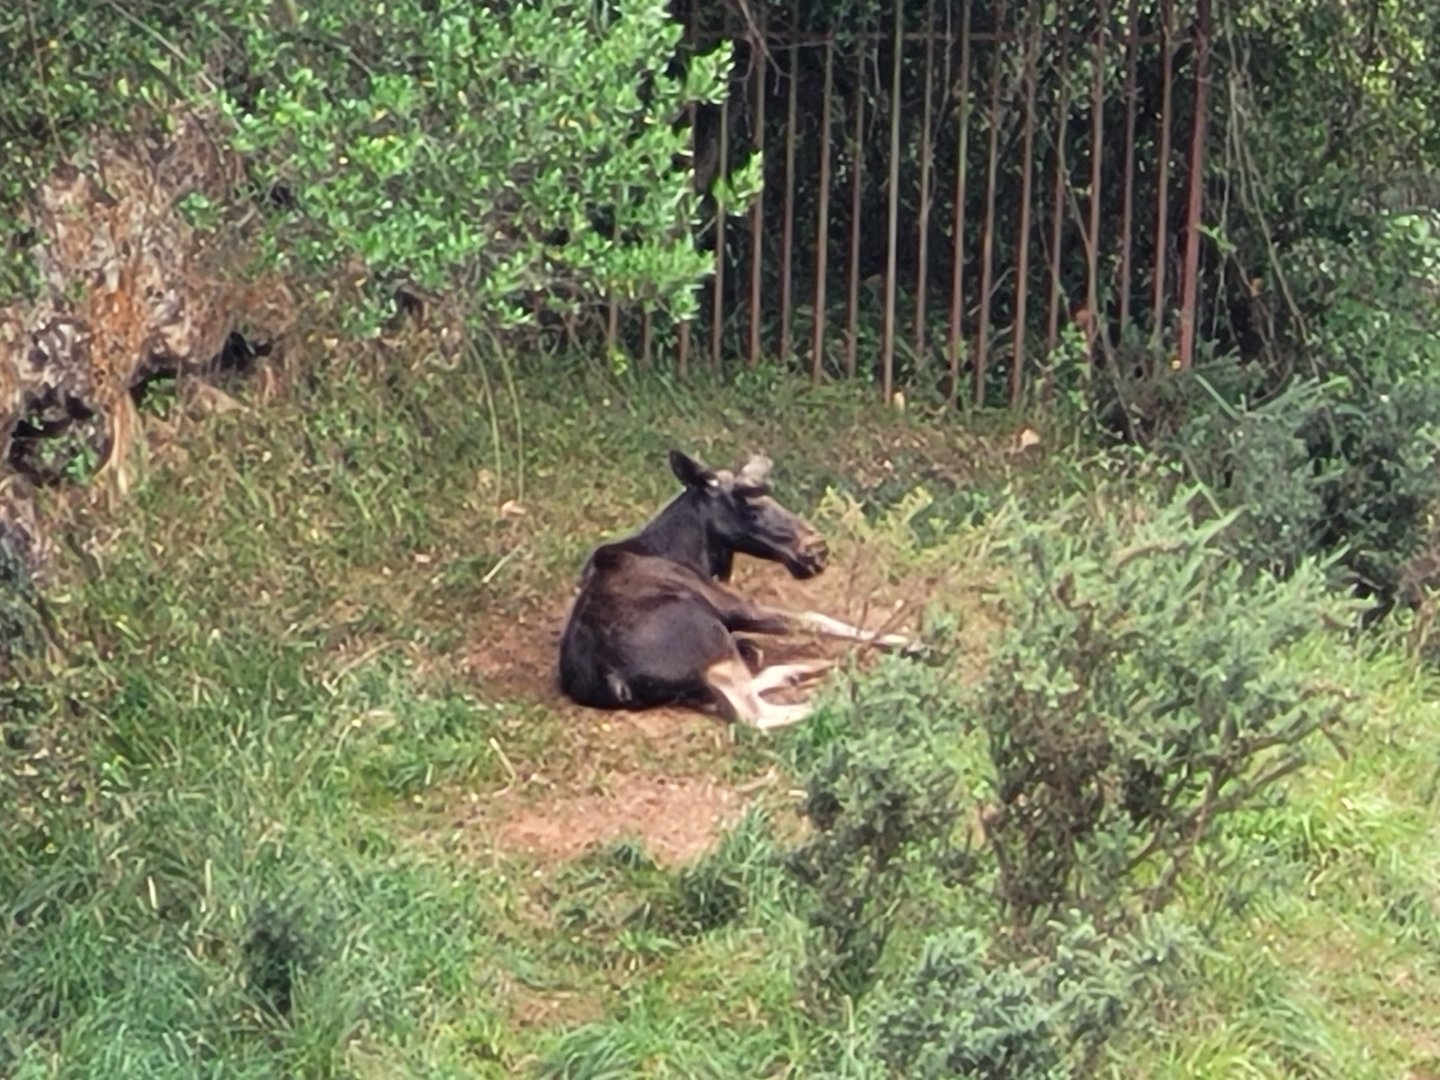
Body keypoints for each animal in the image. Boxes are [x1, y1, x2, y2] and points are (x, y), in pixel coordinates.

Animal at [556, 449, 914, 729]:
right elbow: (814, 618)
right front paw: (912, 644)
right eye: (750, 507)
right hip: (711, 636)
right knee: (754, 715)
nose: (817, 549)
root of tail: (615, 682)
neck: (690, 553)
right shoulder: (732, 606)